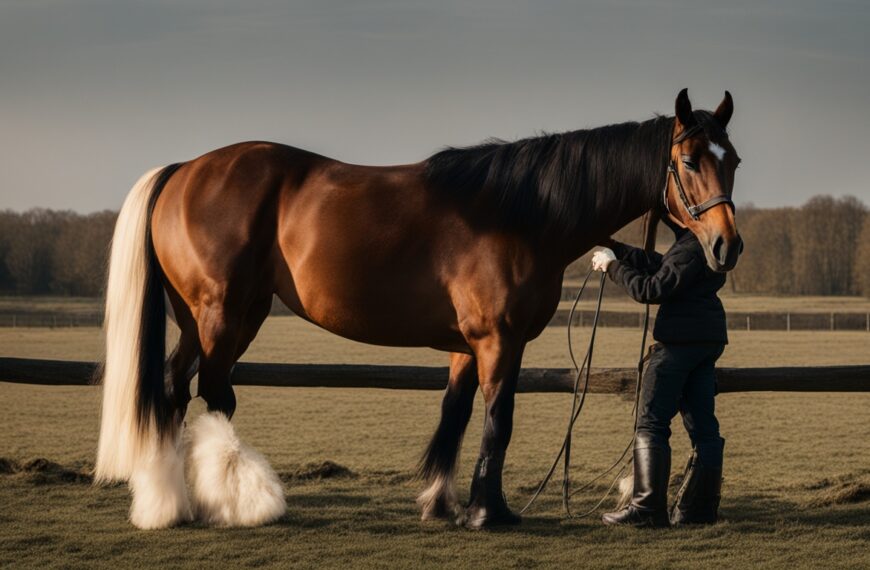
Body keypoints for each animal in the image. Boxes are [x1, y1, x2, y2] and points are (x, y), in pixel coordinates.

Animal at [93, 89, 744, 528]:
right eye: (690, 161)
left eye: (732, 159)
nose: (726, 247)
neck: (520, 214)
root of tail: (184, 170)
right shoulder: (499, 340)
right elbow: (498, 420)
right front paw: (489, 513)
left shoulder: (467, 346)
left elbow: (455, 417)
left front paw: (442, 503)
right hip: (223, 315)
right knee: (213, 397)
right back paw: (236, 502)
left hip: (208, 318)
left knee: (175, 391)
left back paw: (169, 503)